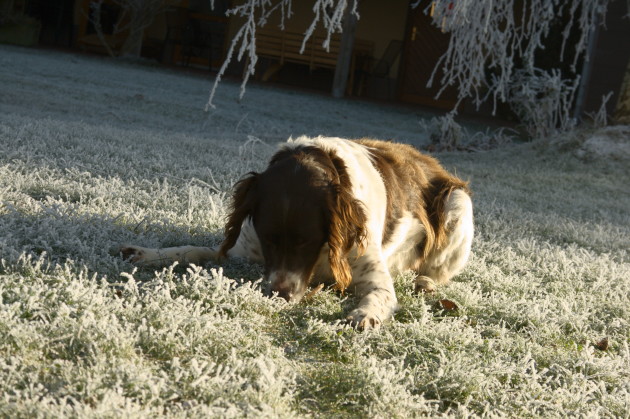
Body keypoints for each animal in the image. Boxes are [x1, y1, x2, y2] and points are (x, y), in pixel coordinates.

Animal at [119, 136, 474, 330]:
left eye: (307, 240)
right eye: (269, 237)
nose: (281, 294)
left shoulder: (373, 274)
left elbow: (379, 296)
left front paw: (364, 315)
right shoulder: (245, 249)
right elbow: (193, 250)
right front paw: (147, 254)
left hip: (458, 204)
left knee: (435, 271)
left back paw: (425, 283)